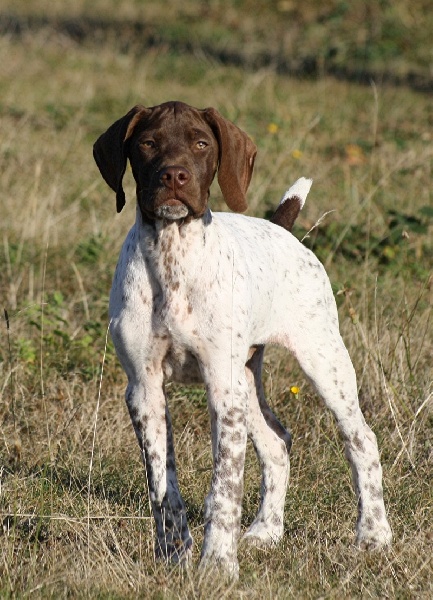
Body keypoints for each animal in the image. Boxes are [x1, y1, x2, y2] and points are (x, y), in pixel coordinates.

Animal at [93, 102, 390, 576]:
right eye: (148, 143)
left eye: (201, 143)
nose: (174, 176)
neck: (173, 258)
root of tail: (281, 229)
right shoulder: (143, 389)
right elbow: (162, 487)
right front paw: (175, 554)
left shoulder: (221, 385)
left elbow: (225, 486)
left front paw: (217, 564)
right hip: (246, 380)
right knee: (277, 443)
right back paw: (266, 532)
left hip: (322, 362)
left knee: (361, 440)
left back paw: (374, 535)